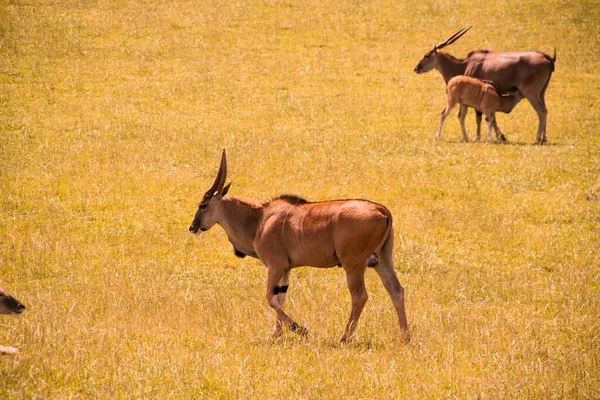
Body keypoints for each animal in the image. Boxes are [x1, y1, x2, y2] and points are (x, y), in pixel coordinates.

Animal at [190, 150, 410, 344]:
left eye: (203, 205)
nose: (192, 227)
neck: (259, 220)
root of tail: (382, 210)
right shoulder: (286, 269)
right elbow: (280, 297)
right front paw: (276, 335)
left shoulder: (275, 265)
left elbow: (270, 297)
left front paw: (300, 329)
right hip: (382, 260)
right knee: (396, 290)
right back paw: (405, 337)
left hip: (353, 264)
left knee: (360, 296)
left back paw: (344, 338)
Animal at [414, 26, 556, 144]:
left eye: (426, 55)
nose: (416, 68)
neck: (464, 65)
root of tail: (547, 58)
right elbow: (490, 117)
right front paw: (499, 136)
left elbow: (480, 117)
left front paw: (481, 137)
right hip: (541, 93)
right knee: (545, 110)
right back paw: (544, 138)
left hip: (531, 93)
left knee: (541, 111)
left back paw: (537, 139)